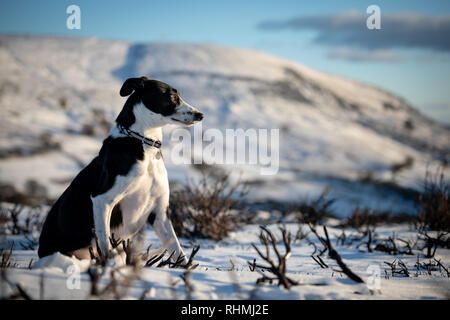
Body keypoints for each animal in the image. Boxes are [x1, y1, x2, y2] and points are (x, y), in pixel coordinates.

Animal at [37, 77, 203, 262]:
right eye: (173, 97)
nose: (200, 115)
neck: (143, 143)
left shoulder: (159, 213)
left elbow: (178, 250)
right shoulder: (102, 200)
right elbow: (105, 243)